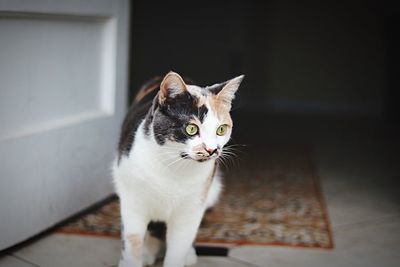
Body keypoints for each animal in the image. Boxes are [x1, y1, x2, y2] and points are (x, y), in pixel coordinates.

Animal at [112, 71, 244, 267]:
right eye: (191, 128)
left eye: (221, 129)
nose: (212, 150)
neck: (174, 168)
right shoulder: (132, 202)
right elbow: (132, 241)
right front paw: (134, 257)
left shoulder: (191, 209)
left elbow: (179, 247)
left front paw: (181, 255)